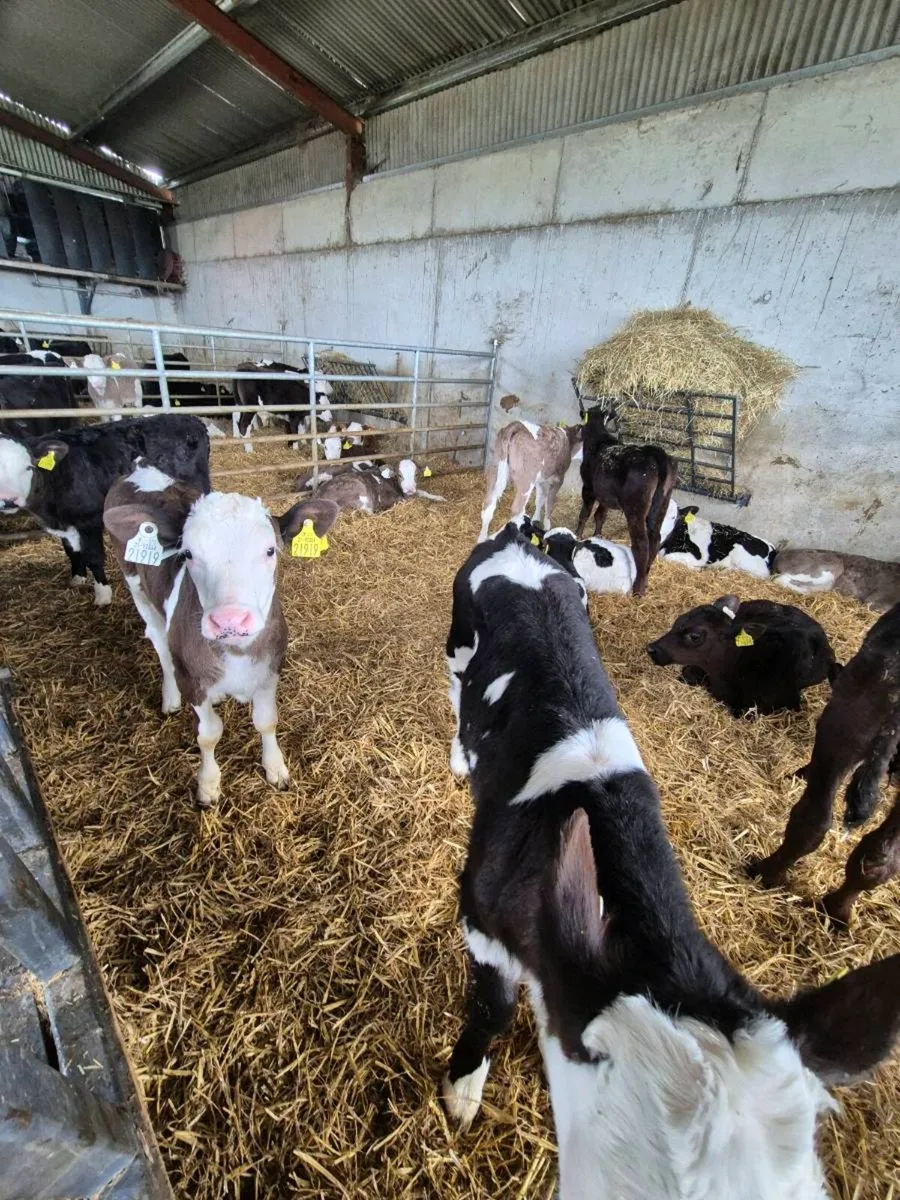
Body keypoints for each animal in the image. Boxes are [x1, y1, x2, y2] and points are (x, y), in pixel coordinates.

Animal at [0, 414, 210, 607]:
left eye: (28, 467)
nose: (8, 500)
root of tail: (191, 419)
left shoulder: (88, 520)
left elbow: (94, 557)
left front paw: (102, 595)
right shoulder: (65, 523)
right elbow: (71, 550)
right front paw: (77, 577)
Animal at [103, 476, 338, 807]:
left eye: (270, 550)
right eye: (188, 554)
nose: (230, 620)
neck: (236, 652)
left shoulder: (270, 668)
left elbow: (266, 720)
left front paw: (275, 768)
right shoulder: (191, 679)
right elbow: (209, 734)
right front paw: (208, 784)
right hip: (137, 588)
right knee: (159, 642)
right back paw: (170, 697)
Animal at [576, 407, 678, 597]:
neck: (599, 437)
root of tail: (653, 453)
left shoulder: (588, 487)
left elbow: (585, 513)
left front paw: (578, 534)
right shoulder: (605, 495)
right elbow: (601, 515)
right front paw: (598, 535)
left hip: (635, 507)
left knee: (641, 543)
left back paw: (638, 588)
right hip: (663, 501)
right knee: (655, 538)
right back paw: (645, 576)